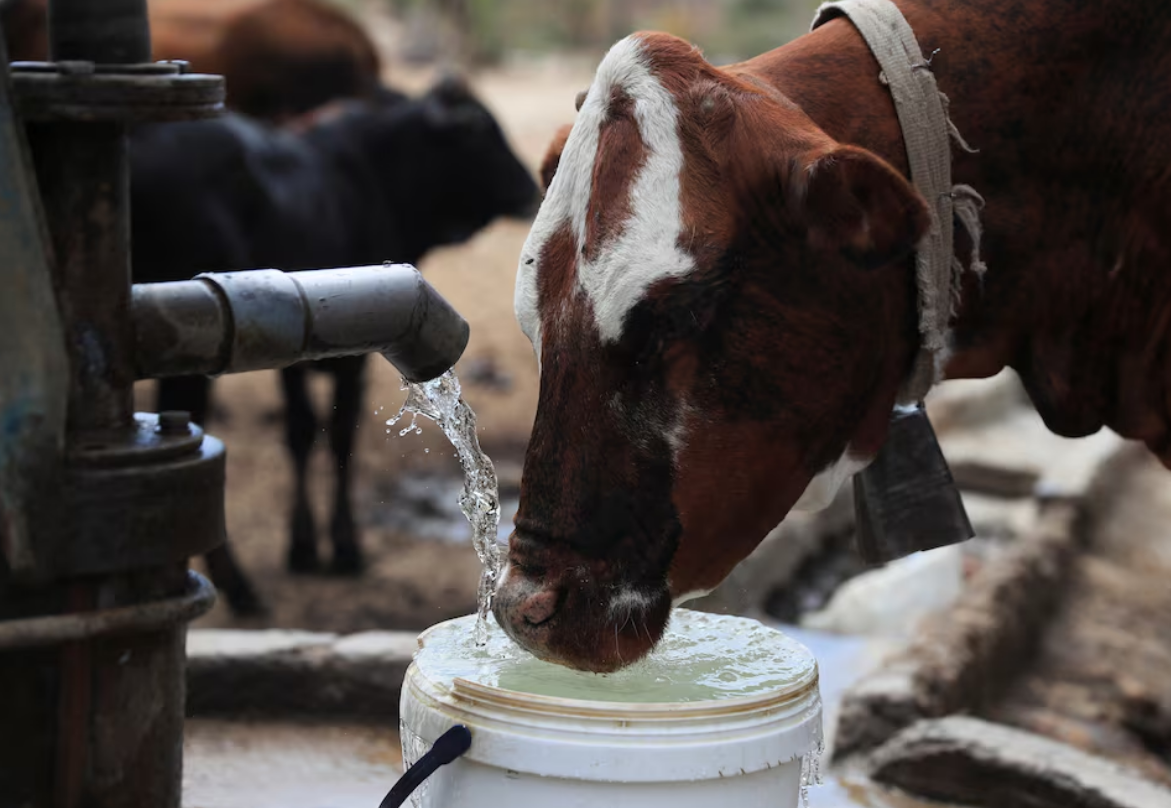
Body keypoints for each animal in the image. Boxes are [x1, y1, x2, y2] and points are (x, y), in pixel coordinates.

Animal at [130, 78, 541, 613]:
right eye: (480, 131)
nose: (531, 188)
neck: (375, 175)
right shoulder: (351, 359)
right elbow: (340, 431)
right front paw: (342, 547)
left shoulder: (293, 361)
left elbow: (303, 432)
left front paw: (304, 545)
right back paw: (238, 586)